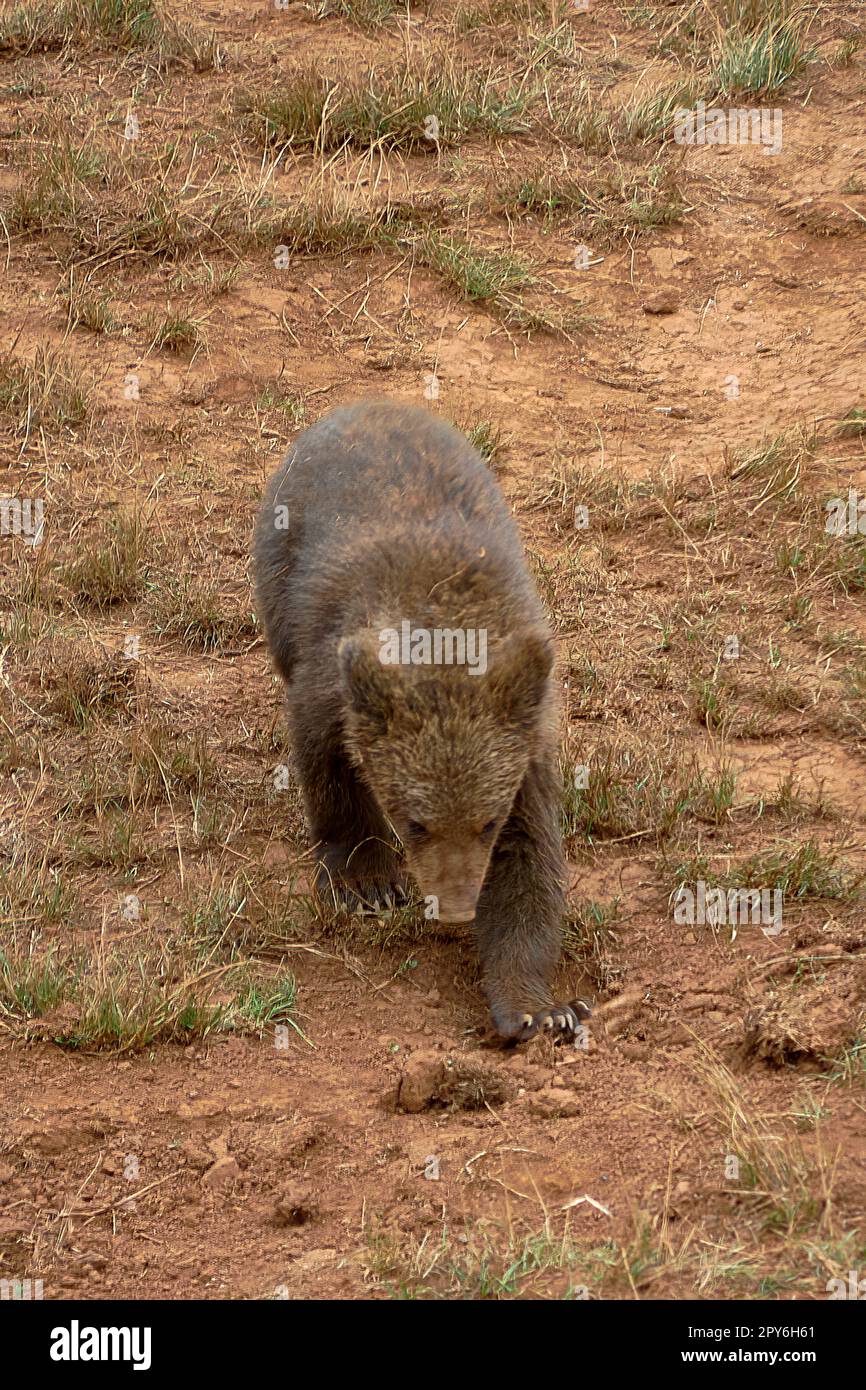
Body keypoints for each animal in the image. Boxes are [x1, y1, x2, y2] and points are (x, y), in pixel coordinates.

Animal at [252, 397, 589, 1039]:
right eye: (415, 823)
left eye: (486, 823)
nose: (455, 908)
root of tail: (365, 403)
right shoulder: (332, 681)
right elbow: (330, 773)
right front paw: (367, 880)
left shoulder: (525, 746)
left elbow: (530, 862)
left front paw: (539, 1007)